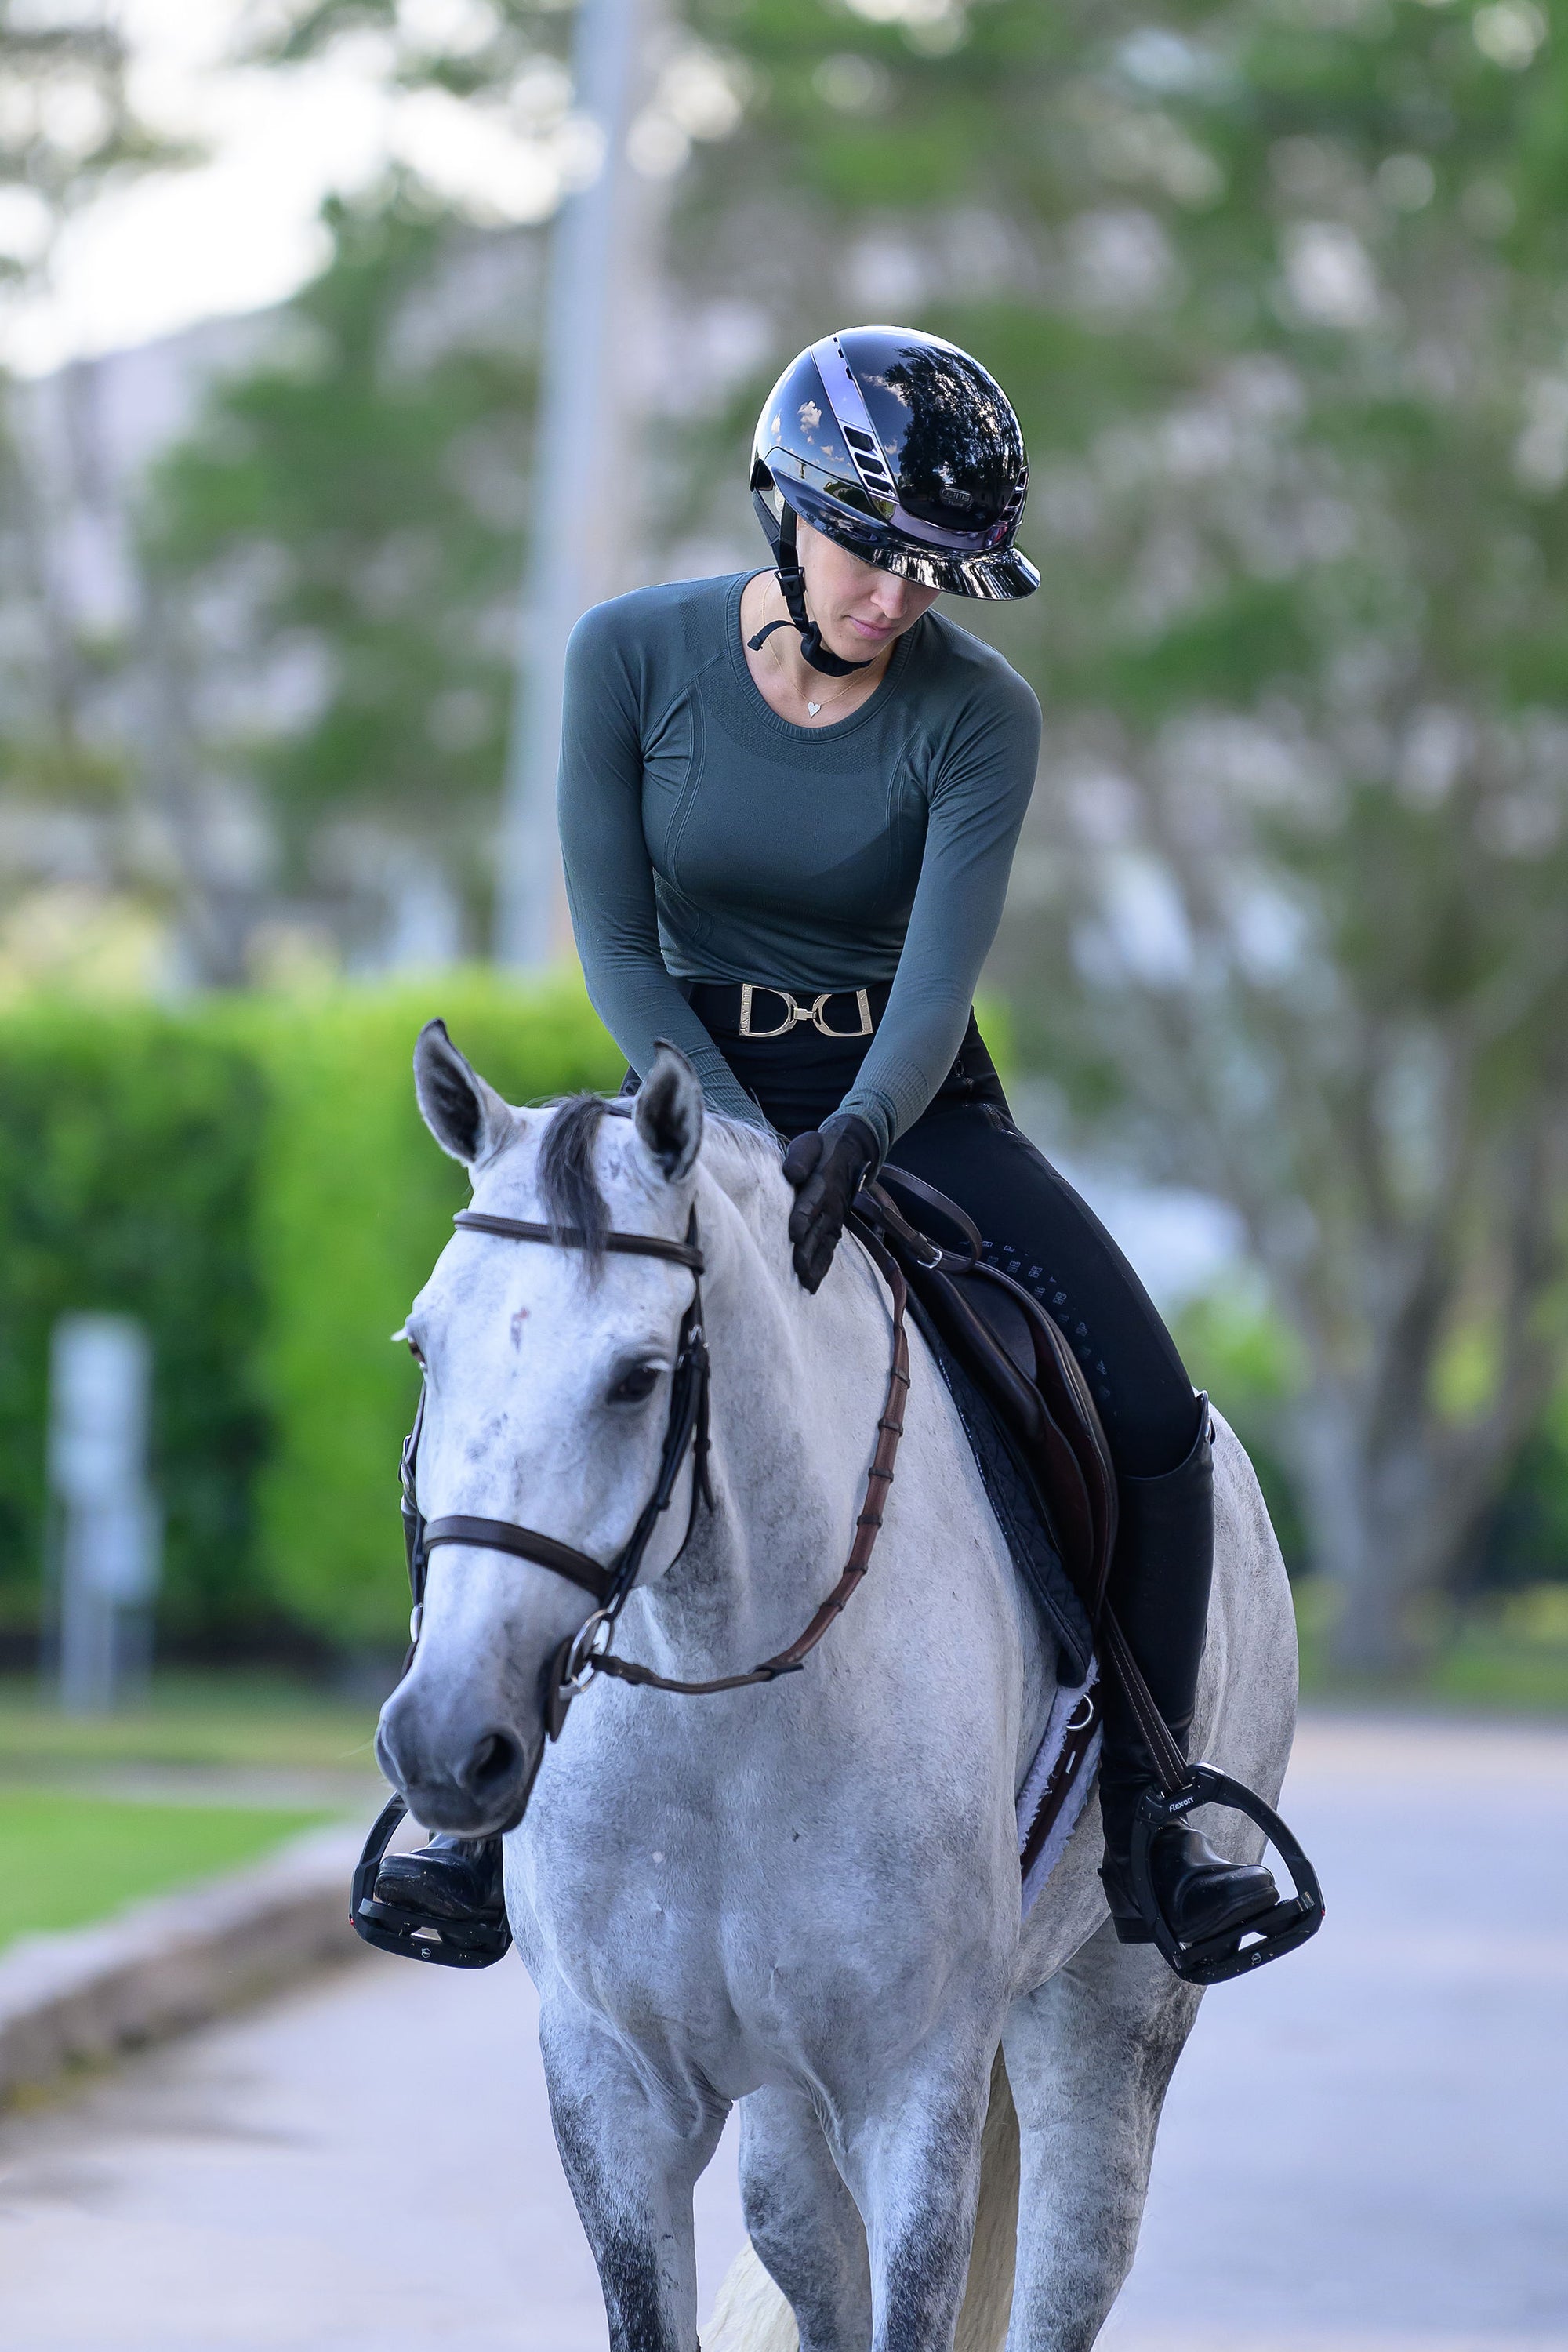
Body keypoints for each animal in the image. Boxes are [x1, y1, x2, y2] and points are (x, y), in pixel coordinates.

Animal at [380, 1030, 1298, 2352]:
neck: (723, 1697)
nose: (446, 1745)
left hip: (1110, 2018)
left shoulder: (912, 2089)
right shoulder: (614, 2087)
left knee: (1075, 2254)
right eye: (422, 1348)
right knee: (805, 2244)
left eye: (638, 1377)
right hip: (788, 2105)